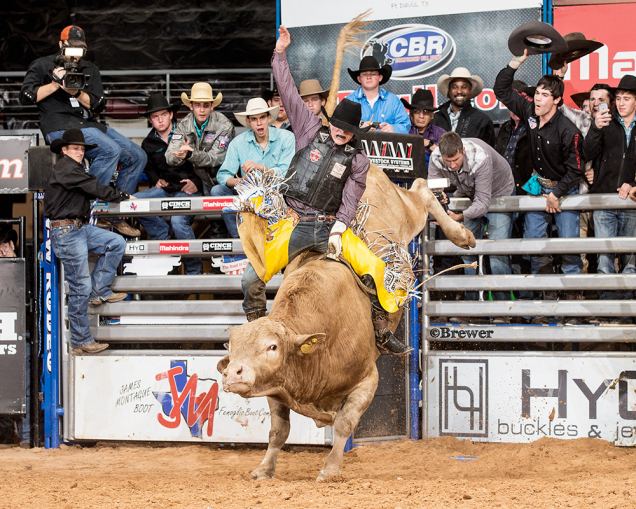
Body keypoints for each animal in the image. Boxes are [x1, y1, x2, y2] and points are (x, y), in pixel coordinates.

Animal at [216, 12, 474, 480]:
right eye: (233, 348)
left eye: (272, 347)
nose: (236, 375)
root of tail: (366, 153)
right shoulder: (278, 395)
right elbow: (278, 431)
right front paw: (264, 469)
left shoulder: (366, 380)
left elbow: (343, 424)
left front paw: (331, 467)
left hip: (405, 213)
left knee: (424, 190)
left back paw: (463, 235)